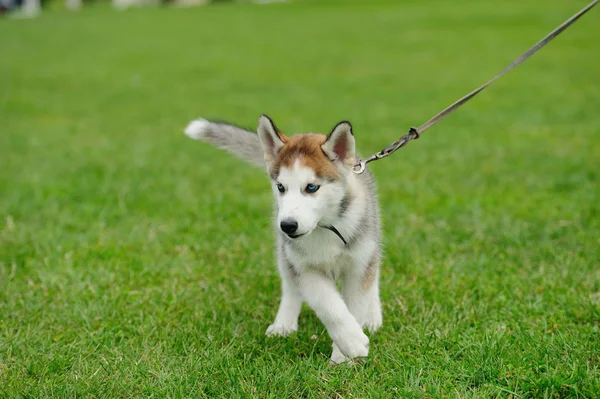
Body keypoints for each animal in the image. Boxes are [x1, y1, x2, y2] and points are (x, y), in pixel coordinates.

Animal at [183, 114, 382, 364]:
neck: (323, 228)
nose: (287, 225)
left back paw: (373, 316)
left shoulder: (358, 265)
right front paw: (351, 342)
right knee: (289, 287)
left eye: (312, 187)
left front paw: (344, 356)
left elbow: (355, 304)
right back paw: (283, 325)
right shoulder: (304, 269)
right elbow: (329, 305)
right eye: (280, 187)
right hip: (285, 254)